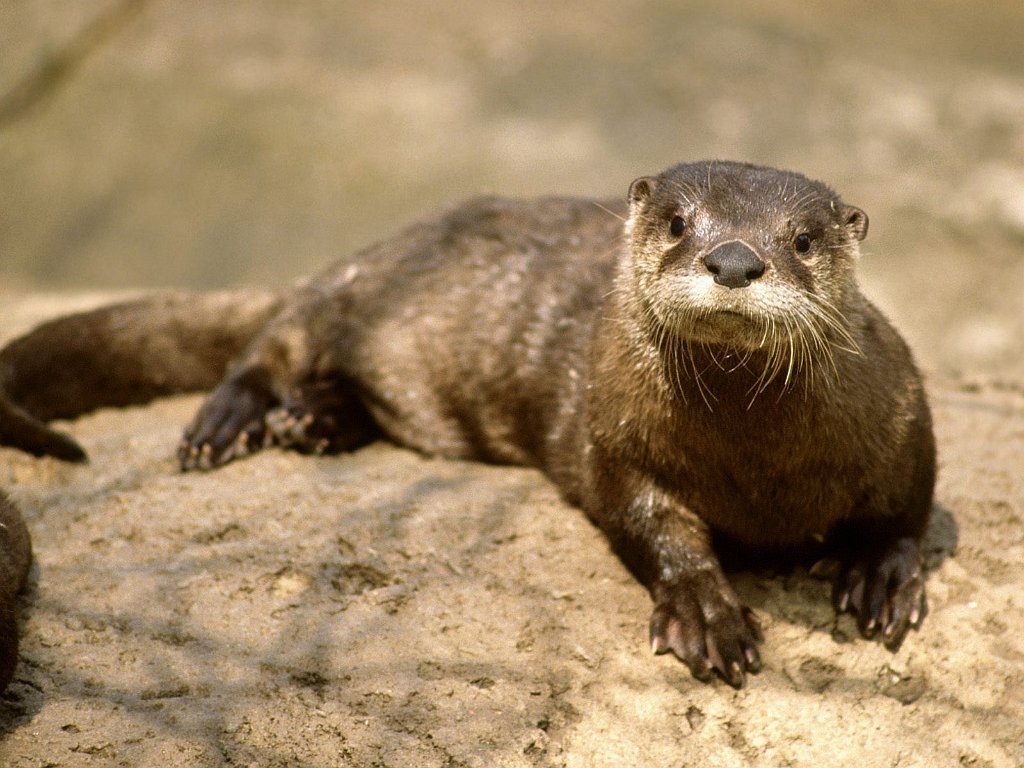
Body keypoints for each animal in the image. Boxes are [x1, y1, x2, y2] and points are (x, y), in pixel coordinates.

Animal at [0, 160, 933, 684]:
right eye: (678, 222)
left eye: (803, 239)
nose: (734, 258)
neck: (759, 473)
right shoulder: (613, 438)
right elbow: (653, 524)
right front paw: (707, 611)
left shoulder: (901, 414)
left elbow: (908, 507)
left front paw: (881, 576)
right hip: (351, 290)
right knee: (272, 339)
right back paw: (232, 420)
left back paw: (313, 421)